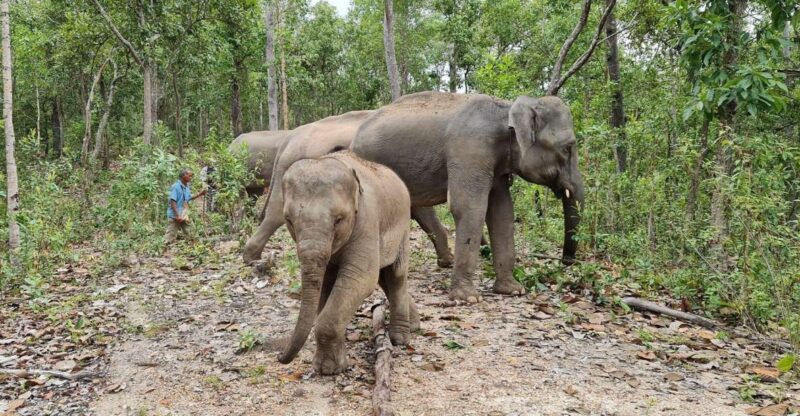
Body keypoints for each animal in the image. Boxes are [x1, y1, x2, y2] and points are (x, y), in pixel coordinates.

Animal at [277, 151, 419, 375]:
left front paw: (329, 370)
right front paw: (330, 366)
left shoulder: (367, 220)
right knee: (384, 277)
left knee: (396, 275)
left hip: (403, 226)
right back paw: (414, 325)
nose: (280, 356)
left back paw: (400, 339)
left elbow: (362, 277)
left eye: (339, 220)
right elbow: (327, 283)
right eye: (289, 220)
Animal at [351, 92, 584, 303]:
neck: (506, 109)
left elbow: (502, 213)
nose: (566, 261)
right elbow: (468, 207)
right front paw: (468, 298)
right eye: (568, 147)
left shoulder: (496, 165)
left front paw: (513, 290)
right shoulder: (470, 151)